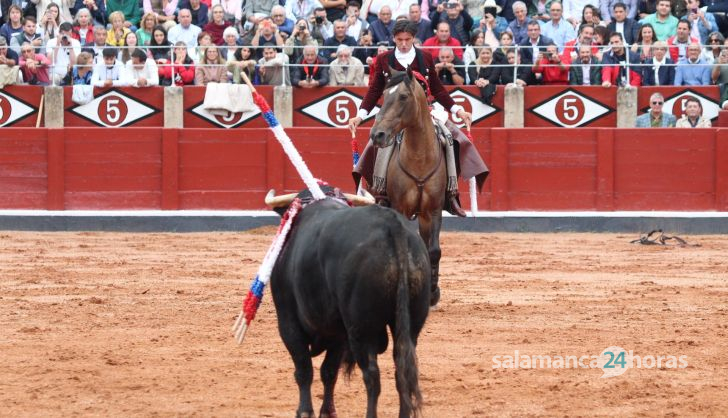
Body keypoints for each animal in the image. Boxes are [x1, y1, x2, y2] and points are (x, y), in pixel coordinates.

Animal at [272, 196, 432, 418]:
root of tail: (392, 225)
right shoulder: (337, 333)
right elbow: (328, 371)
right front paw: (327, 412)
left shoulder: (288, 322)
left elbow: (304, 369)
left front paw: (304, 411)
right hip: (411, 324)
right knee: (402, 369)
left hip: (361, 329)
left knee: (372, 375)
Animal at [370, 68, 444, 304]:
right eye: (383, 95)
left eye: (403, 97)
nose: (377, 135)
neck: (420, 157)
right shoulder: (400, 207)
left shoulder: (434, 209)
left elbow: (434, 250)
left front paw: (432, 293)